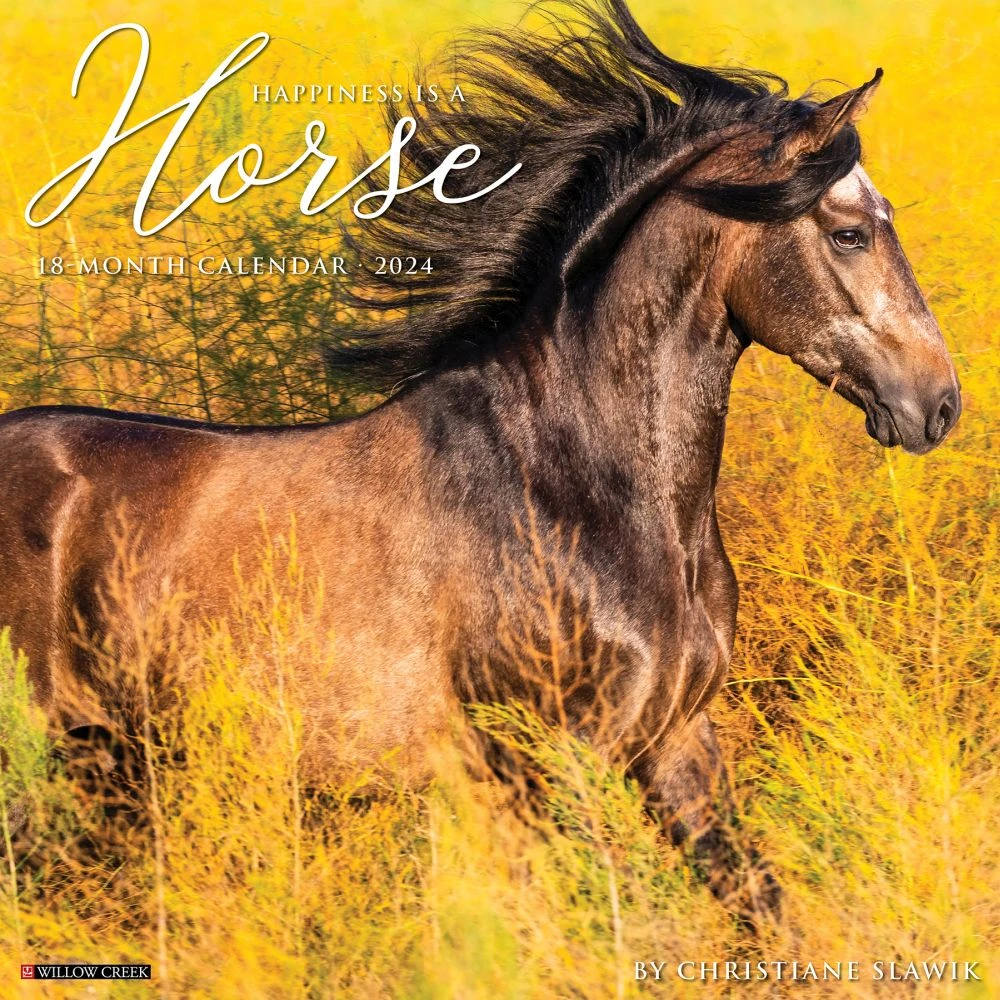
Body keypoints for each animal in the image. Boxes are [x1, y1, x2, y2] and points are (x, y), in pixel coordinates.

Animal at [0, 0, 960, 919]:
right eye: (849, 233)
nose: (938, 403)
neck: (576, 484)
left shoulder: (678, 742)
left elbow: (758, 907)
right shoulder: (549, 761)